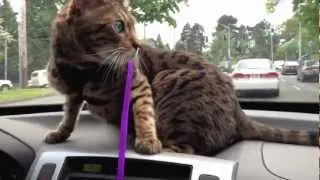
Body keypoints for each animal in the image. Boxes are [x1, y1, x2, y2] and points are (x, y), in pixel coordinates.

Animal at [44, 0, 318, 155]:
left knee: (186, 149)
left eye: (132, 26)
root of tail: (239, 112)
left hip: (169, 79)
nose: (137, 45)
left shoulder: (138, 82)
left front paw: (147, 139)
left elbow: (143, 112)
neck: (80, 67)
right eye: (119, 26)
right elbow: (69, 115)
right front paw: (60, 133)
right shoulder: (72, 94)